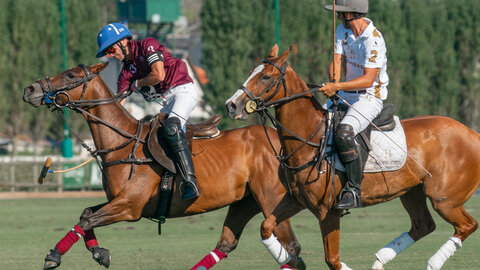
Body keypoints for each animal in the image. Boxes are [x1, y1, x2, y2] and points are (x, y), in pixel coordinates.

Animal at [21, 62, 304, 268]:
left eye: (70, 74)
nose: (30, 89)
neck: (122, 143)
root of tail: (282, 138)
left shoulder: (130, 207)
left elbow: (86, 221)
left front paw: (54, 256)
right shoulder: (118, 201)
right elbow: (86, 214)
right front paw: (100, 253)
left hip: (271, 200)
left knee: (291, 249)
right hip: (245, 201)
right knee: (227, 243)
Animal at [225, 44, 480, 270]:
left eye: (266, 77)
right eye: (251, 71)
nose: (231, 105)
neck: (310, 139)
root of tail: (472, 133)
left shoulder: (328, 211)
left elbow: (333, 260)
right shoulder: (296, 200)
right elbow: (266, 225)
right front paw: (286, 259)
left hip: (445, 198)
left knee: (467, 225)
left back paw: (432, 263)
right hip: (412, 191)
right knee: (423, 225)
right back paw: (379, 261)